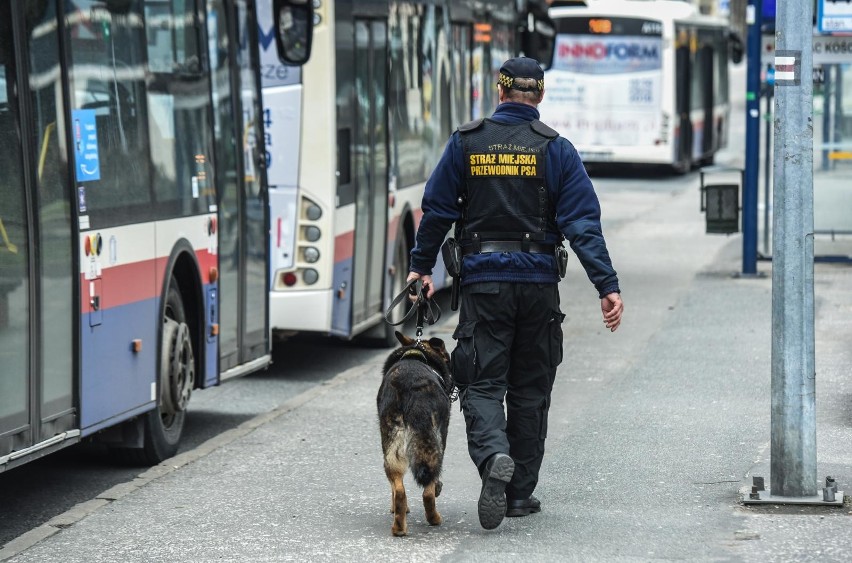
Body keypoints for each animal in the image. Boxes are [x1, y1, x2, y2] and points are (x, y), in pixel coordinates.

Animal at [374, 332, 450, 536]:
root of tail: (412, 389)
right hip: (430, 444)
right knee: (427, 490)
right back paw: (433, 518)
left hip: (392, 447)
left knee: (400, 490)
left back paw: (400, 525)